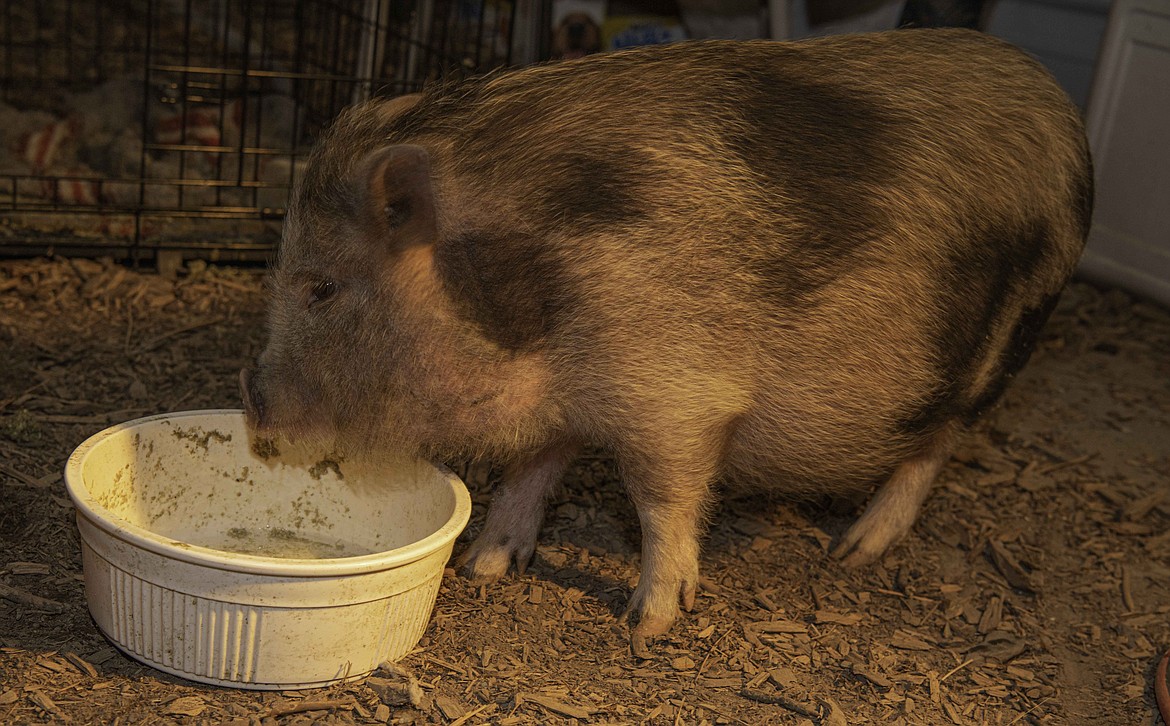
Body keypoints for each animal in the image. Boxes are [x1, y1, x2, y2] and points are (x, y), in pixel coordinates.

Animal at [239, 26, 1095, 640]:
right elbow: (534, 468)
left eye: (321, 287)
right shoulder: (564, 397)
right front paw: (487, 566)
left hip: (1000, 343)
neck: (535, 303)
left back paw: (854, 551)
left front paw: (646, 624)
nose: (251, 398)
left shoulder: (678, 400)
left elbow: (663, 501)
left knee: (937, 446)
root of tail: (1065, 114)